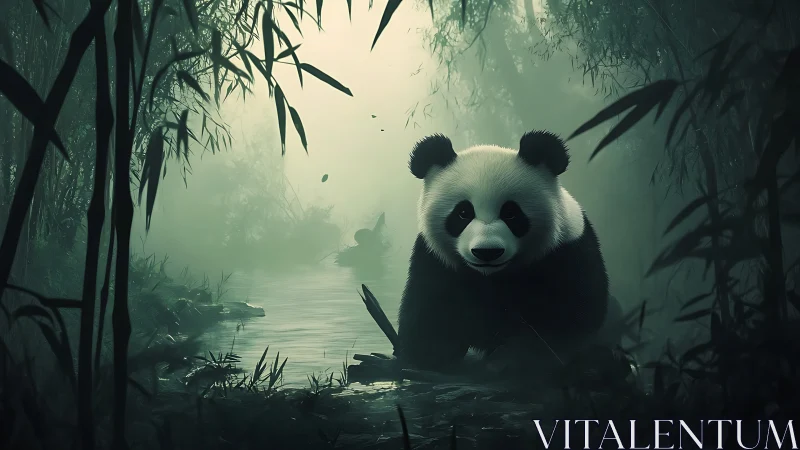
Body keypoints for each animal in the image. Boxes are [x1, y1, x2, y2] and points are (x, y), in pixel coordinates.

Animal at [394, 130, 617, 373]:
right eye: (463, 213)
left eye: (511, 213)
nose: (487, 252)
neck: (492, 276)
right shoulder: (434, 260)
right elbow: (429, 312)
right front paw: (430, 356)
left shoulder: (567, 251)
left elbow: (567, 318)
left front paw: (510, 361)